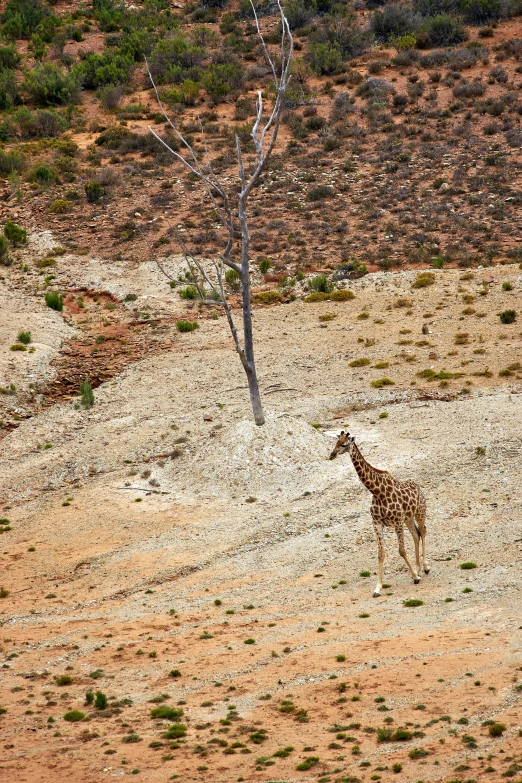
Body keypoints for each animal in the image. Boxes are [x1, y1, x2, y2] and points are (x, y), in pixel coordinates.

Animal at [328, 432, 428, 596]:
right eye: (335, 442)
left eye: (344, 444)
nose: (332, 455)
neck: (377, 491)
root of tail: (418, 486)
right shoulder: (377, 522)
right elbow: (381, 554)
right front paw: (377, 588)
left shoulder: (397, 521)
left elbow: (401, 550)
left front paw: (415, 577)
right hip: (408, 518)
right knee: (416, 534)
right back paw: (418, 568)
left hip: (420, 512)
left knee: (423, 531)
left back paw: (425, 568)